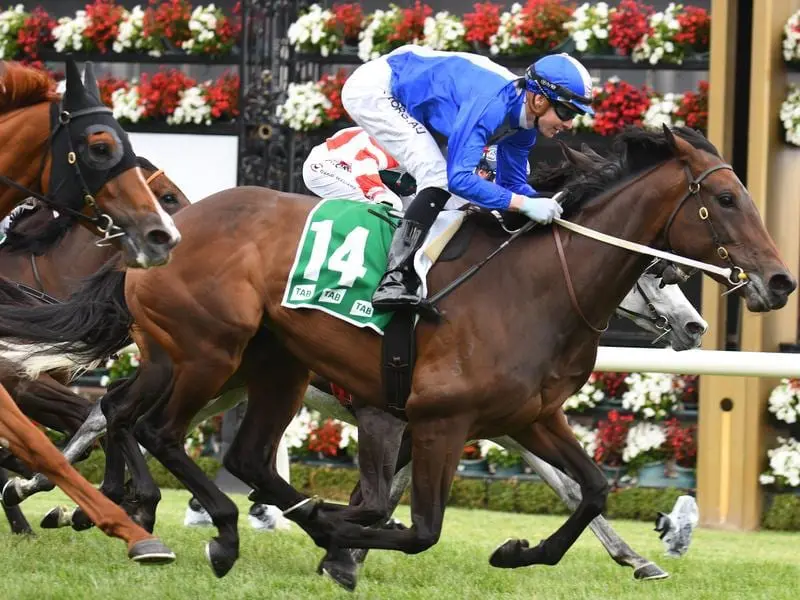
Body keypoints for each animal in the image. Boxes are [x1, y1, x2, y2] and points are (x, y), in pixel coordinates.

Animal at [0, 129, 792, 584]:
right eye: (725, 198)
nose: (779, 281)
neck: (536, 287)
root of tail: (162, 235)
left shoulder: (527, 417)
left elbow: (589, 490)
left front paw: (530, 553)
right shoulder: (433, 418)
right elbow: (416, 524)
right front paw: (341, 542)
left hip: (260, 367)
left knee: (160, 426)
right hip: (207, 354)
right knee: (146, 426)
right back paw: (172, 520)